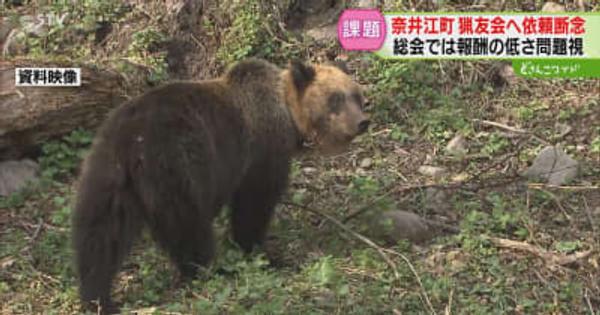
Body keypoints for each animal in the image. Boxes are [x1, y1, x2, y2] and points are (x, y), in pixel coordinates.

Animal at [72, 58, 368, 314]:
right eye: (336, 98)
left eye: (356, 95)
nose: (362, 122)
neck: (287, 113)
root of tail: (132, 140)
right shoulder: (260, 150)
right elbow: (254, 203)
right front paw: (261, 253)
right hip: (175, 165)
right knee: (187, 223)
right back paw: (208, 268)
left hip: (105, 175)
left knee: (99, 236)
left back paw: (97, 297)